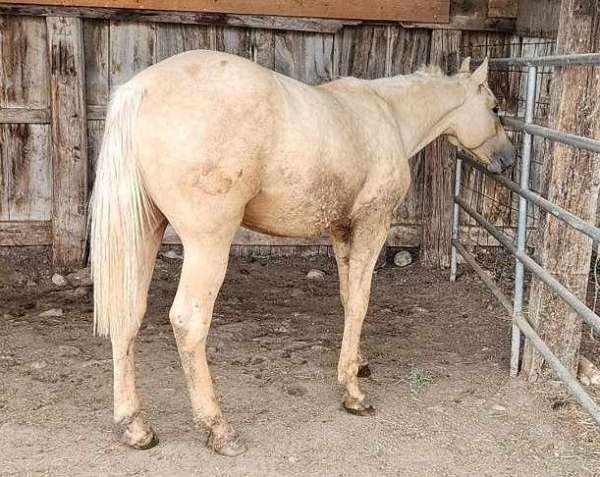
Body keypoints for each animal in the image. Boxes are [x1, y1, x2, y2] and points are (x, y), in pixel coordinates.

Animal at [90, 50, 516, 456]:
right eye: (495, 107)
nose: (508, 159)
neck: (388, 114)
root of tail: (139, 90)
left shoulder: (342, 231)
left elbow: (347, 296)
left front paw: (357, 363)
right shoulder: (373, 224)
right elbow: (360, 301)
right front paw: (352, 393)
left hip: (146, 233)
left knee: (128, 315)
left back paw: (134, 426)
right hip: (207, 245)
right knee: (188, 323)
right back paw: (218, 429)